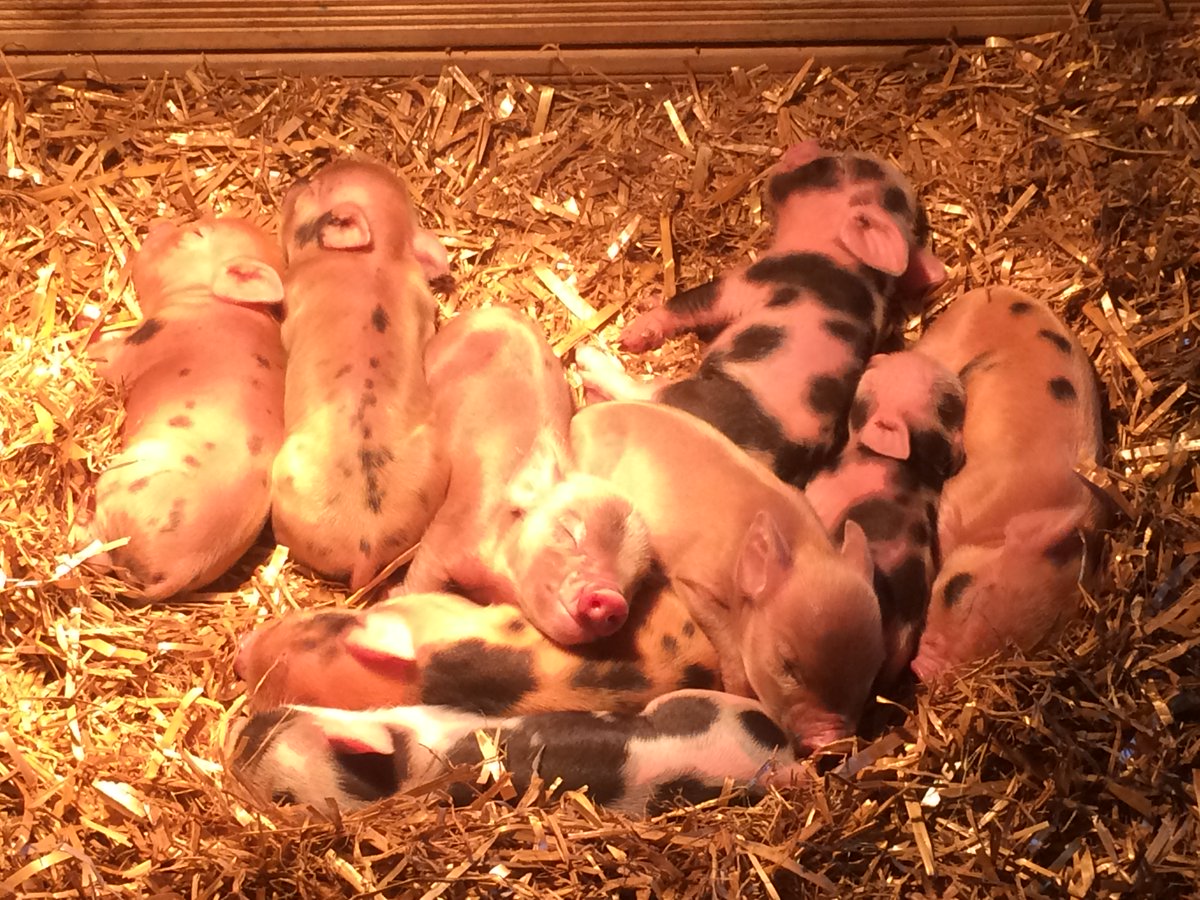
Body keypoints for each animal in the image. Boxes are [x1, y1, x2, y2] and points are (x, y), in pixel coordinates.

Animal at [84, 215, 286, 601]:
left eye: (197, 234)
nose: (158, 224)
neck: (208, 301)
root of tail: (175, 574)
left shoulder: (141, 344)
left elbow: (106, 359)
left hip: (121, 477)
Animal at [401, 305, 652, 645]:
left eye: (633, 583)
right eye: (569, 532)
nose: (611, 597)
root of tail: (499, 311)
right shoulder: (448, 533)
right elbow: (422, 578)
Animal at [577, 140, 946, 486]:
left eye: (830, 167)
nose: (805, 144)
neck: (844, 258)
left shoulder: (747, 280)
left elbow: (689, 304)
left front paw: (633, 331)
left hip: (686, 399)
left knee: (640, 393)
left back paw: (589, 358)